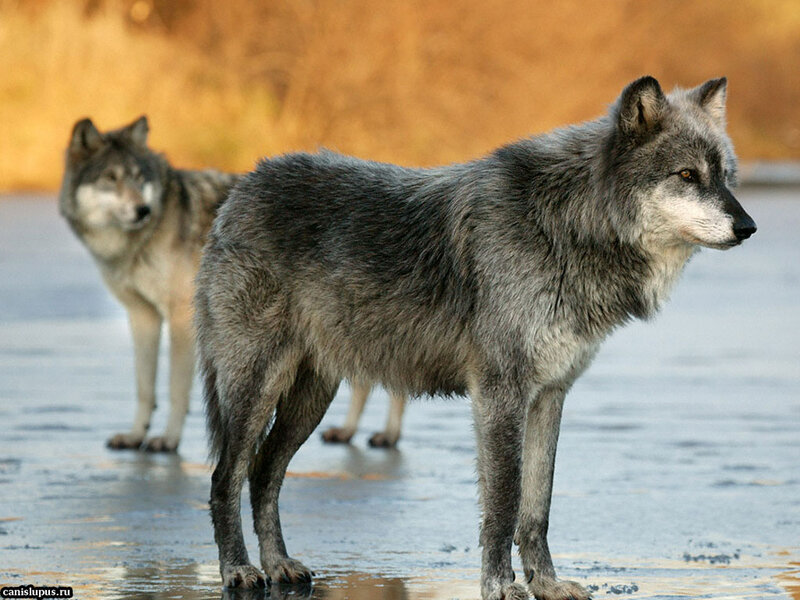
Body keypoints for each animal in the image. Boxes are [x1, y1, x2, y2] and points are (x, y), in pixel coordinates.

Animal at [59, 116, 238, 452]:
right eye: (111, 178)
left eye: (138, 178)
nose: (142, 210)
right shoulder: (142, 315)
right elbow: (145, 386)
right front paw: (135, 435)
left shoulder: (181, 316)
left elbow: (176, 388)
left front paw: (168, 440)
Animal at [194, 76, 755, 600]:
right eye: (687, 175)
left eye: (725, 177)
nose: (748, 226)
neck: (564, 226)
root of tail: (244, 186)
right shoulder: (499, 393)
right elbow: (503, 505)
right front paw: (501, 586)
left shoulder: (550, 395)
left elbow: (537, 509)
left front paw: (546, 584)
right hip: (257, 389)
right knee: (226, 477)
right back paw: (239, 571)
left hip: (311, 399)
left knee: (264, 474)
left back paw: (279, 565)